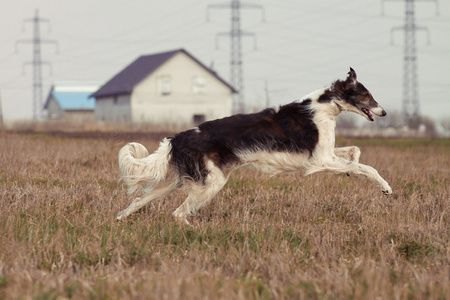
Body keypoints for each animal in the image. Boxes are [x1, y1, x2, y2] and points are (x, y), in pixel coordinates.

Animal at [118, 68, 392, 223]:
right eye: (367, 95)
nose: (385, 112)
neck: (325, 105)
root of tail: (178, 137)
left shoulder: (324, 154)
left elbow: (355, 152)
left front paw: (351, 171)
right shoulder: (320, 159)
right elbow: (368, 167)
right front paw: (385, 188)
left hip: (175, 182)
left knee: (136, 202)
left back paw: (120, 220)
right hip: (210, 183)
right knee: (178, 214)